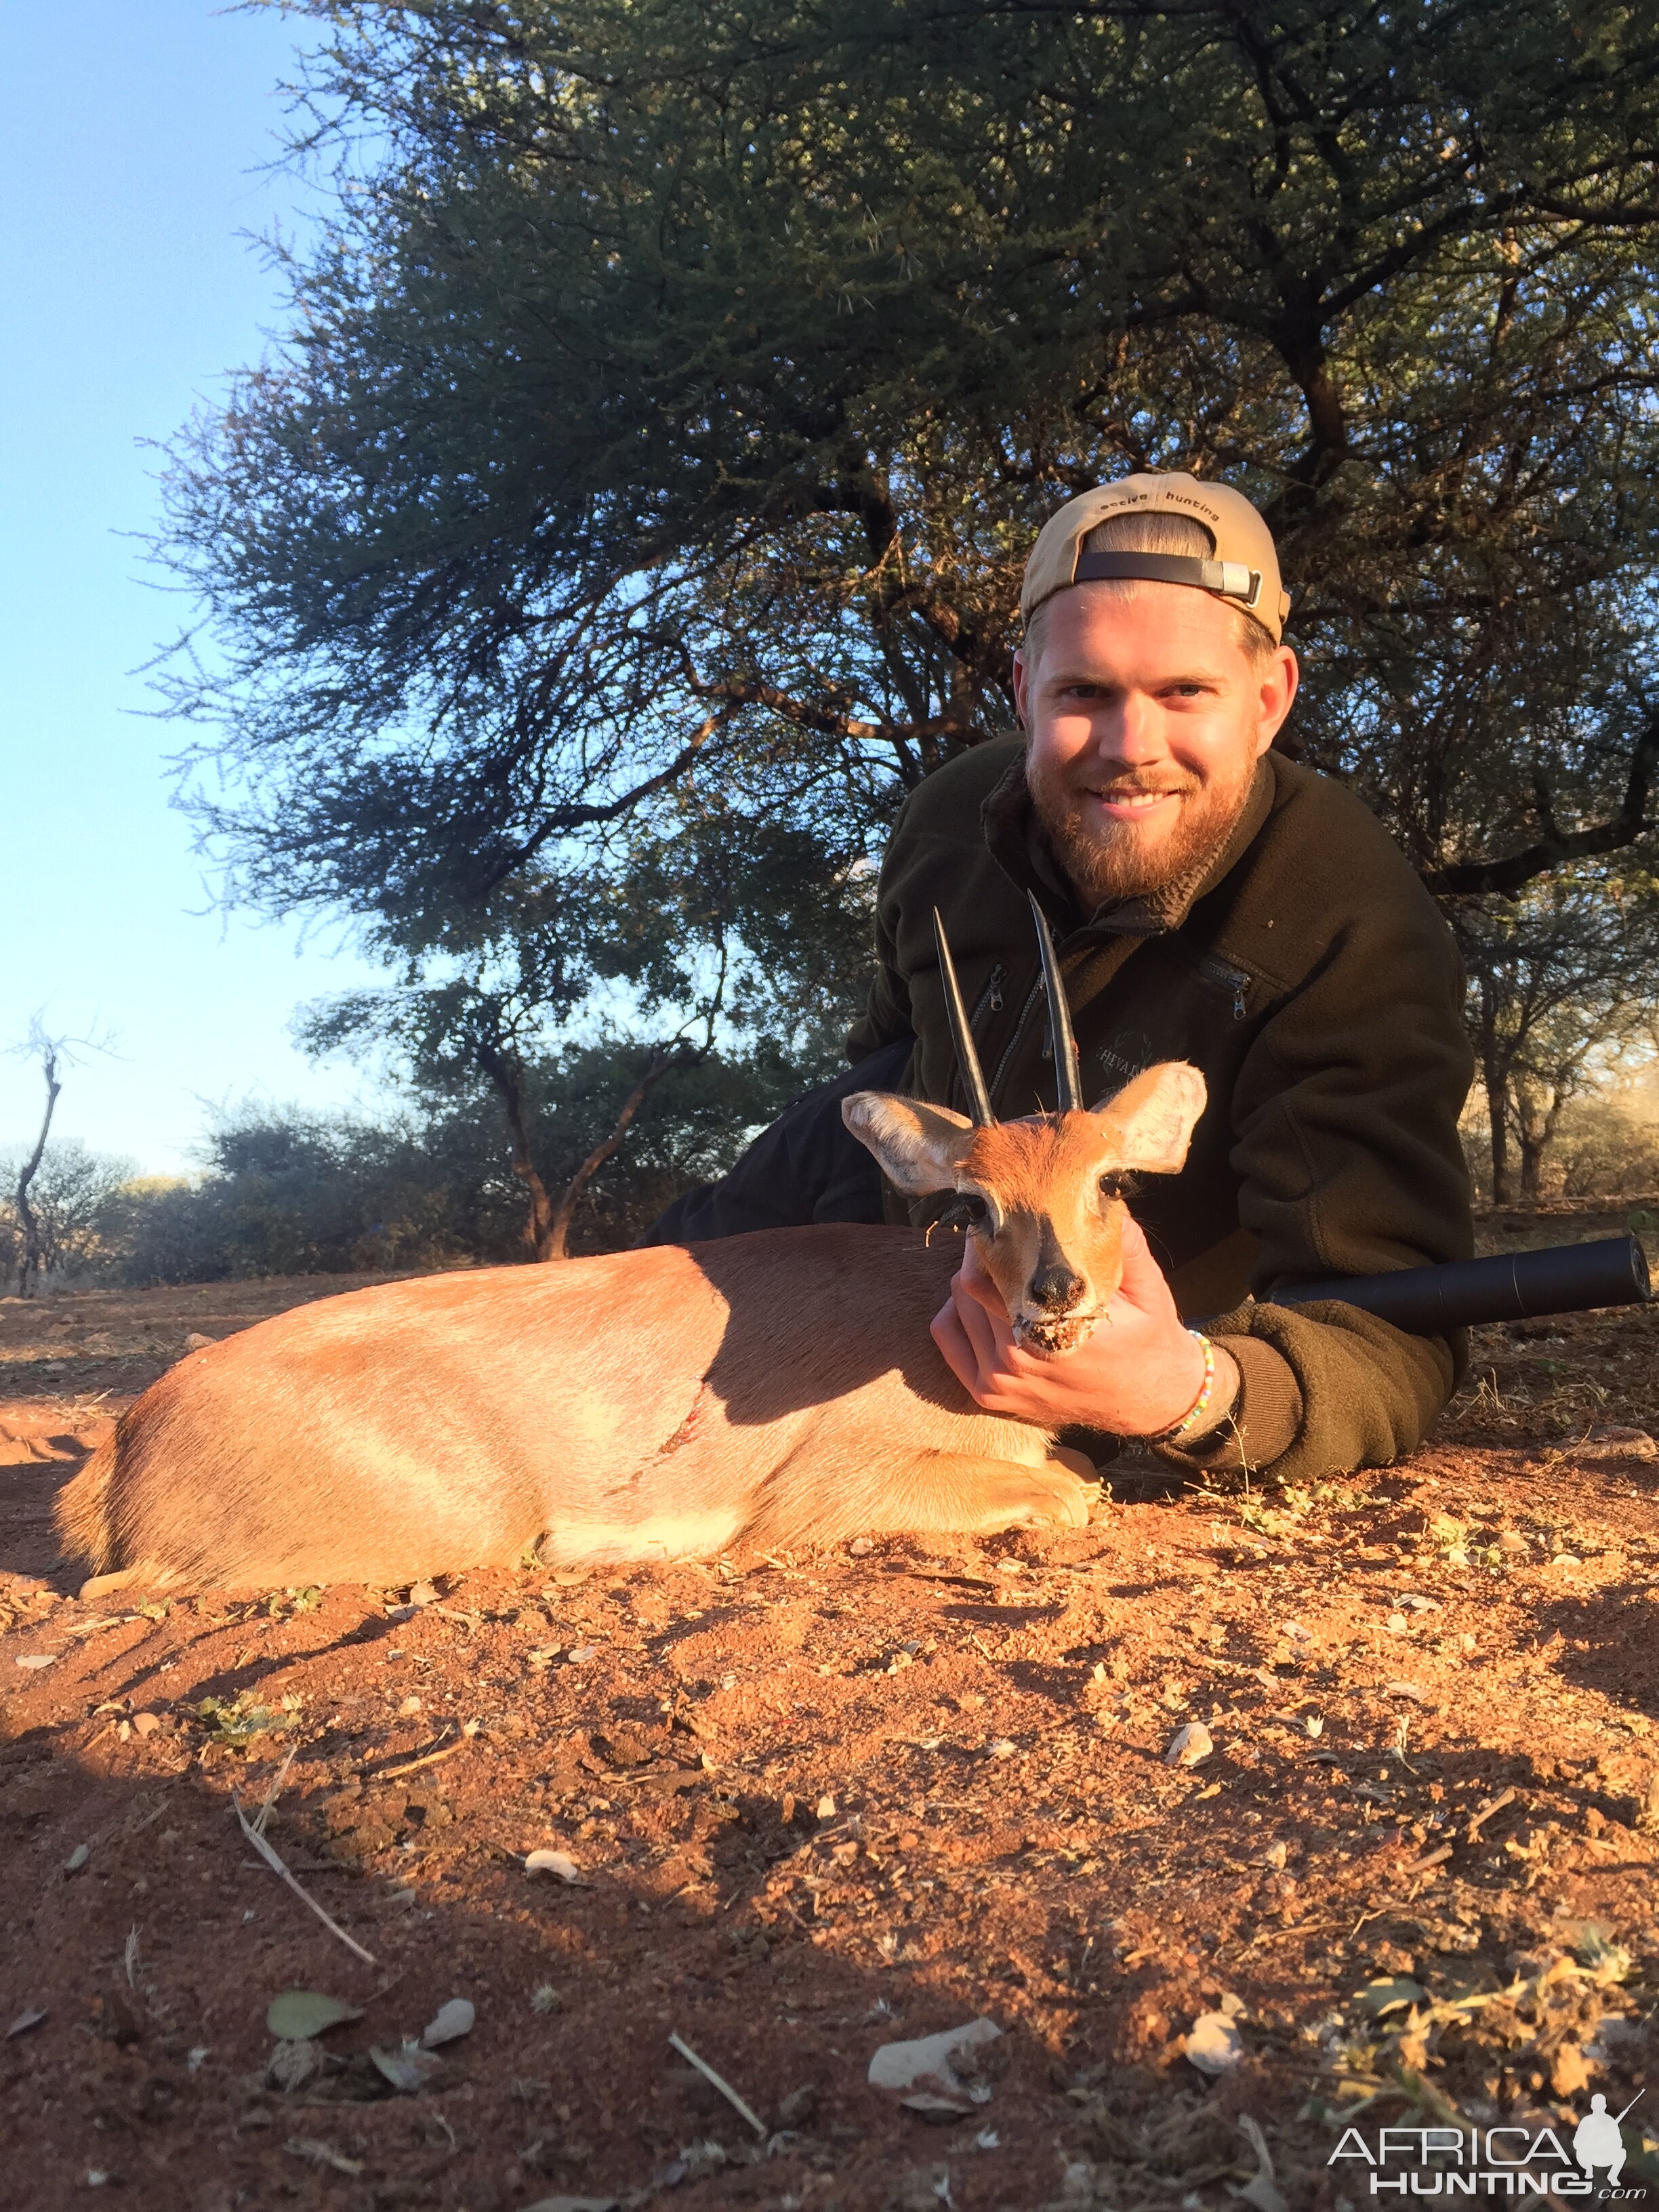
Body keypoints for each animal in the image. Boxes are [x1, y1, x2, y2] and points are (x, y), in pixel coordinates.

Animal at [61, 898, 1212, 1593]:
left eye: (1109, 1180)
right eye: (971, 1205)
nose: (1055, 1292)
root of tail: (134, 1429)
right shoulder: (826, 1492)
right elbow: (1068, 1489)